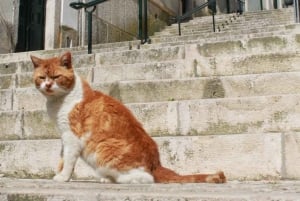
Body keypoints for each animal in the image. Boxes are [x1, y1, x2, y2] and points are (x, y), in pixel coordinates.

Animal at [31, 51, 225, 184]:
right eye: (42, 77)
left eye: (56, 76)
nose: (47, 85)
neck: (59, 101)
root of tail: (156, 164)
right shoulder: (63, 136)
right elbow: (62, 159)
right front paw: (59, 173)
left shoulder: (72, 137)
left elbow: (68, 161)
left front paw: (63, 177)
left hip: (103, 149)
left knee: (146, 178)